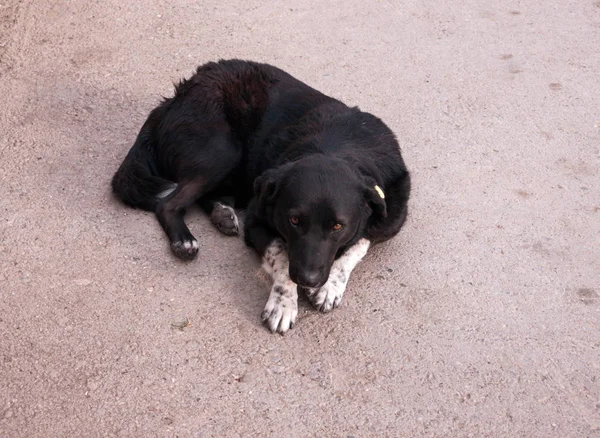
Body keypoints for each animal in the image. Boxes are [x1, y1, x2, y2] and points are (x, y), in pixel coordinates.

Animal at [112, 60, 410, 334]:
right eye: (293, 220)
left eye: (338, 226)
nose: (308, 279)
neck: (339, 146)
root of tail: (173, 99)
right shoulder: (258, 220)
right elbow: (281, 255)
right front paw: (283, 303)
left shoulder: (391, 217)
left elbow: (359, 244)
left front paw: (331, 286)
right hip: (222, 151)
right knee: (169, 203)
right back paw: (184, 240)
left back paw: (223, 214)